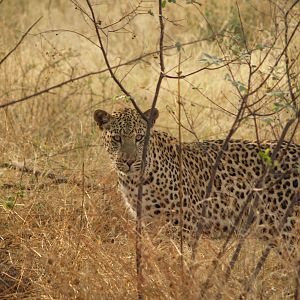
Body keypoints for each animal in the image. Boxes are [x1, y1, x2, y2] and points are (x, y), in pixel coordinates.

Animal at [94, 107, 300, 260]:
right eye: (117, 138)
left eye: (139, 138)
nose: (128, 161)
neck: (134, 180)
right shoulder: (149, 224)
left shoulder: (184, 225)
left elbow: (180, 260)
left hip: (290, 231)